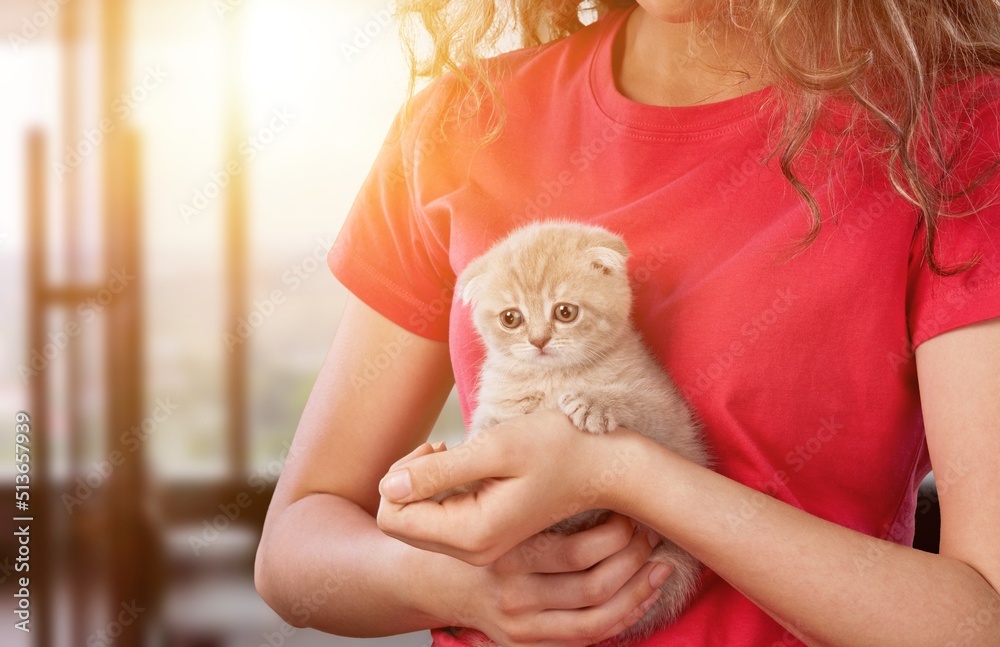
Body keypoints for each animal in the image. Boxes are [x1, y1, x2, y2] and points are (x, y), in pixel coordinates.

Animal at [456, 221, 712, 644]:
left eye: (565, 312)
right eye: (511, 318)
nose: (538, 340)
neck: (552, 378)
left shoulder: (668, 415)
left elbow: (636, 404)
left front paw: (594, 403)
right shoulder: (498, 406)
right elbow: (485, 430)